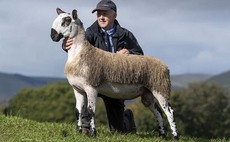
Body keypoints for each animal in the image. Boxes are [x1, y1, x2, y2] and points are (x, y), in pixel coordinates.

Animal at [50, 8, 179, 140]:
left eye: (67, 20)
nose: (52, 35)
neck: (81, 53)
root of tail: (165, 66)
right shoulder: (77, 89)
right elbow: (78, 111)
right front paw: (80, 131)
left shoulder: (91, 88)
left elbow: (91, 111)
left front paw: (92, 133)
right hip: (147, 94)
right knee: (158, 113)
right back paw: (161, 135)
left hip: (160, 88)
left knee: (169, 112)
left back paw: (175, 136)